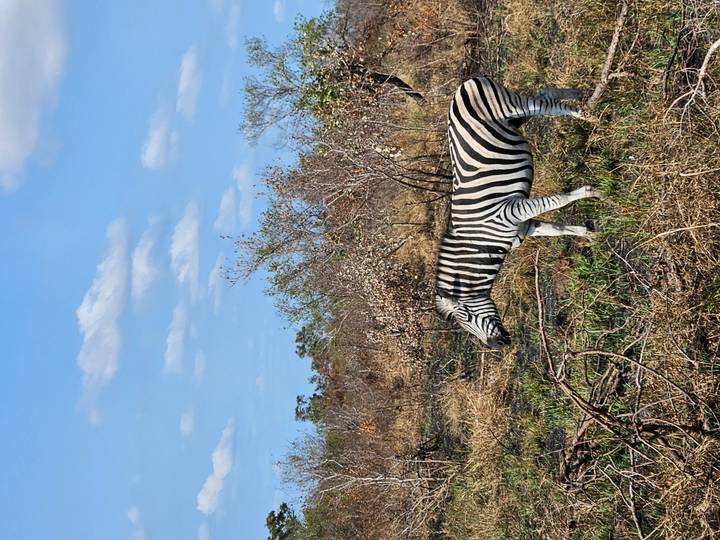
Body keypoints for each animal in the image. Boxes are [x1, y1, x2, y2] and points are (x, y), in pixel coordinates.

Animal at [435, 76, 601, 349]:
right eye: (464, 325)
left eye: (467, 316)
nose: (496, 346)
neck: (482, 239)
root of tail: (464, 83)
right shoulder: (523, 227)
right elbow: (557, 229)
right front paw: (589, 234)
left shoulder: (512, 210)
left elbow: (560, 199)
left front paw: (593, 192)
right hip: (513, 118)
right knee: (545, 93)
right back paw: (578, 95)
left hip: (510, 107)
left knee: (544, 104)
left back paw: (585, 115)